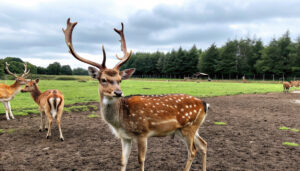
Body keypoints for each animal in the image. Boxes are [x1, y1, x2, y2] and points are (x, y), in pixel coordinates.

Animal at [62, 18, 209, 170]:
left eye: (120, 80)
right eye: (103, 79)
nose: (118, 92)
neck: (120, 121)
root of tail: (204, 104)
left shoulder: (142, 132)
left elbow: (141, 160)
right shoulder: (124, 137)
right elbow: (123, 160)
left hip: (188, 127)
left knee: (193, 150)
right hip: (188, 129)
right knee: (204, 144)